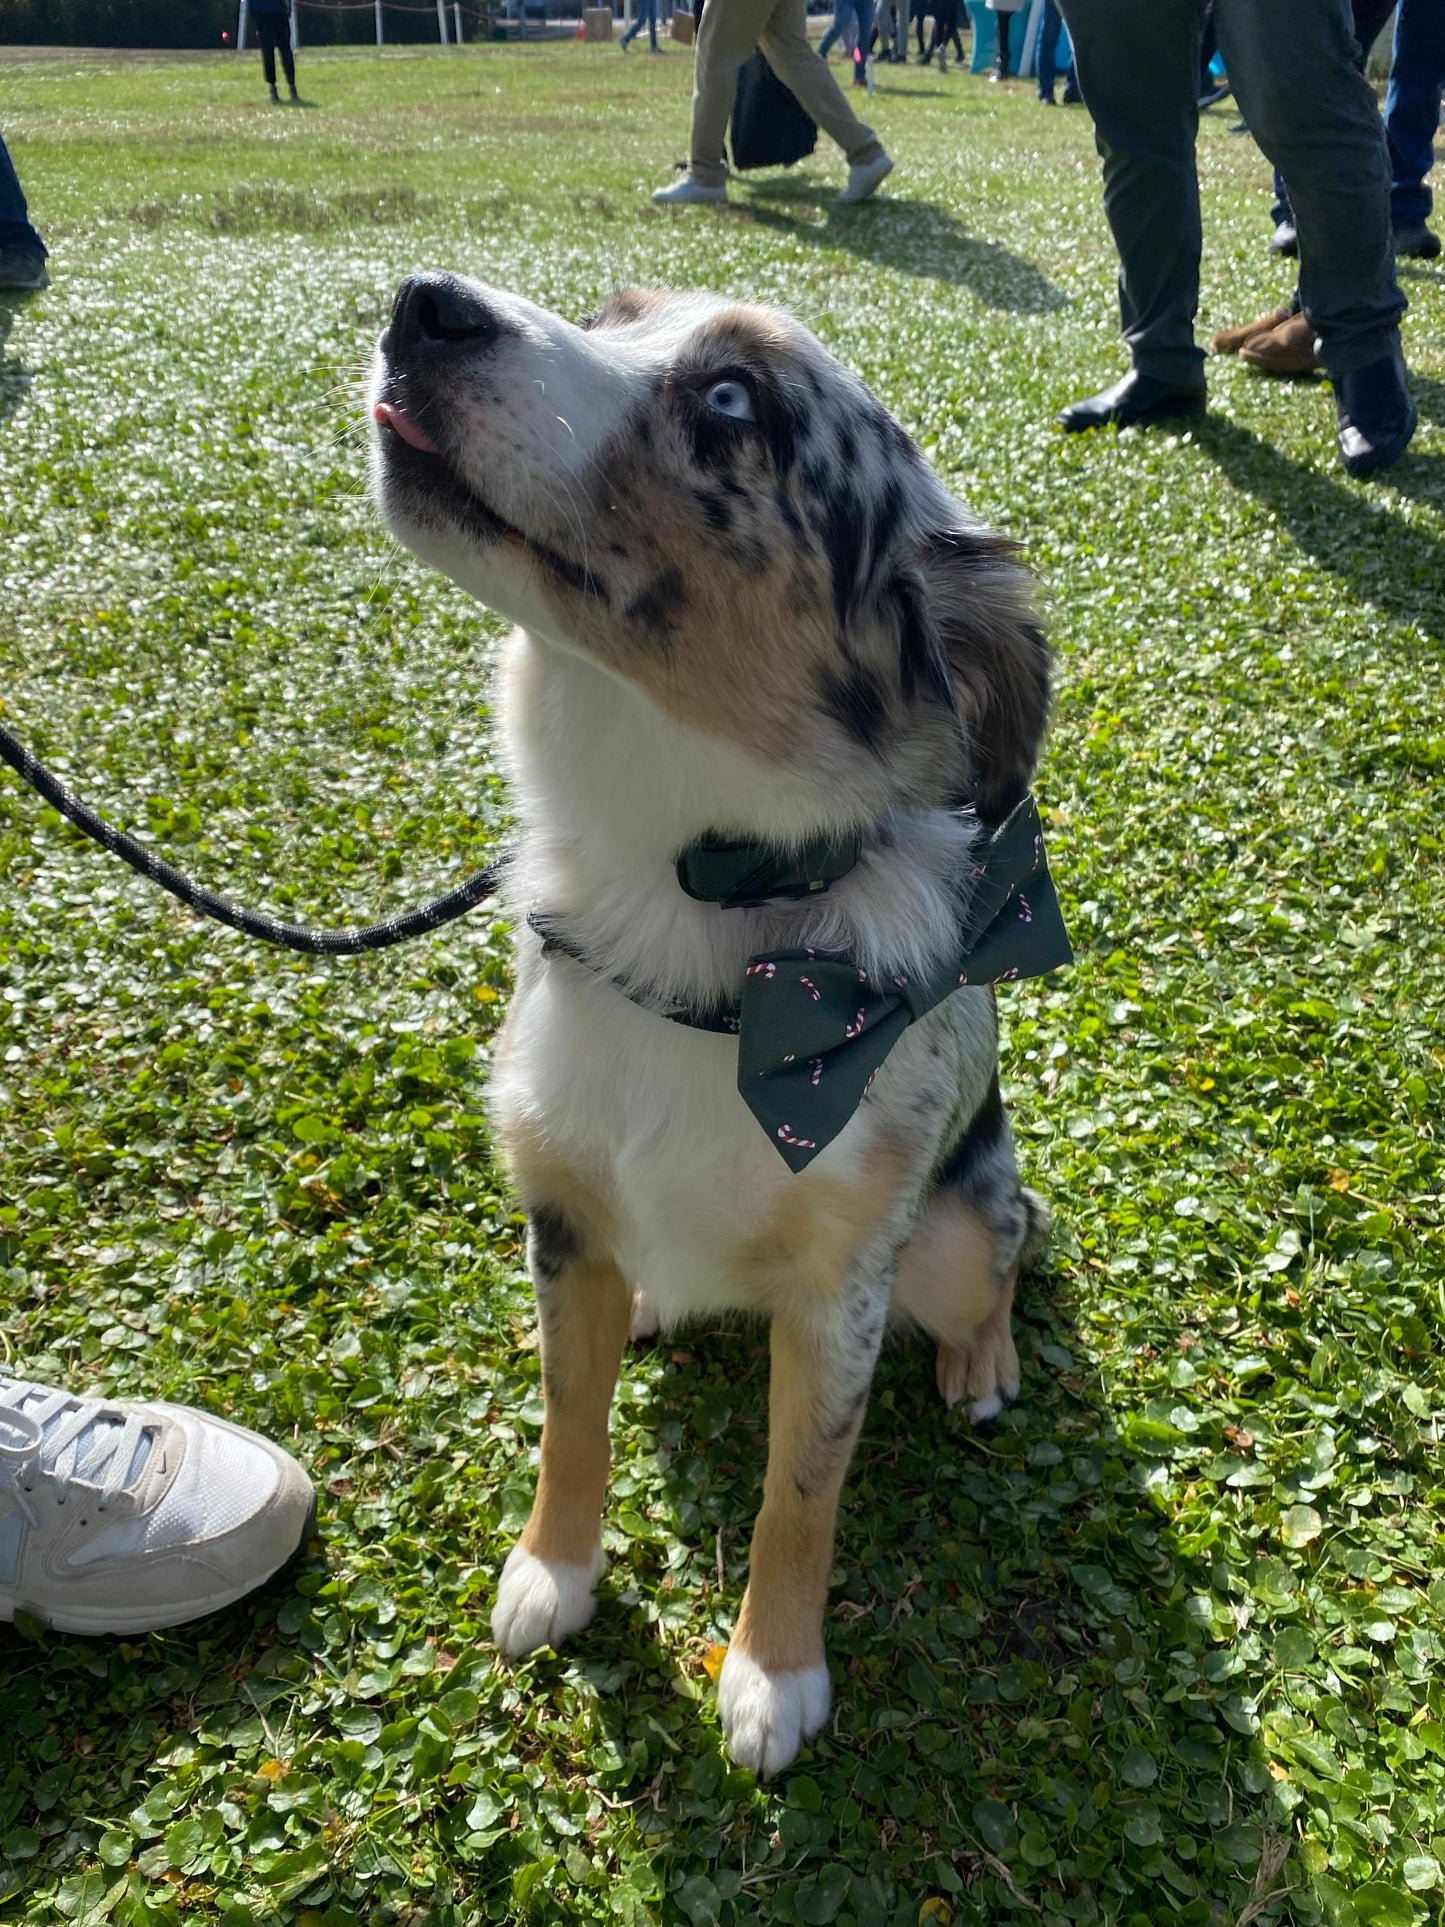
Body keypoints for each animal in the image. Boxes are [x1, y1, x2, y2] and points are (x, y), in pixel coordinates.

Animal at [367, 279, 1055, 1780]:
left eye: (734, 398)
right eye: (611, 310)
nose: (423, 304)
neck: (686, 883)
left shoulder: (843, 1290)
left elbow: (801, 1489)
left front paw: (771, 1676)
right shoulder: (562, 1210)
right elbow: (568, 1418)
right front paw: (553, 1572)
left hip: (953, 1233)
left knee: (1005, 1254)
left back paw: (983, 1362)